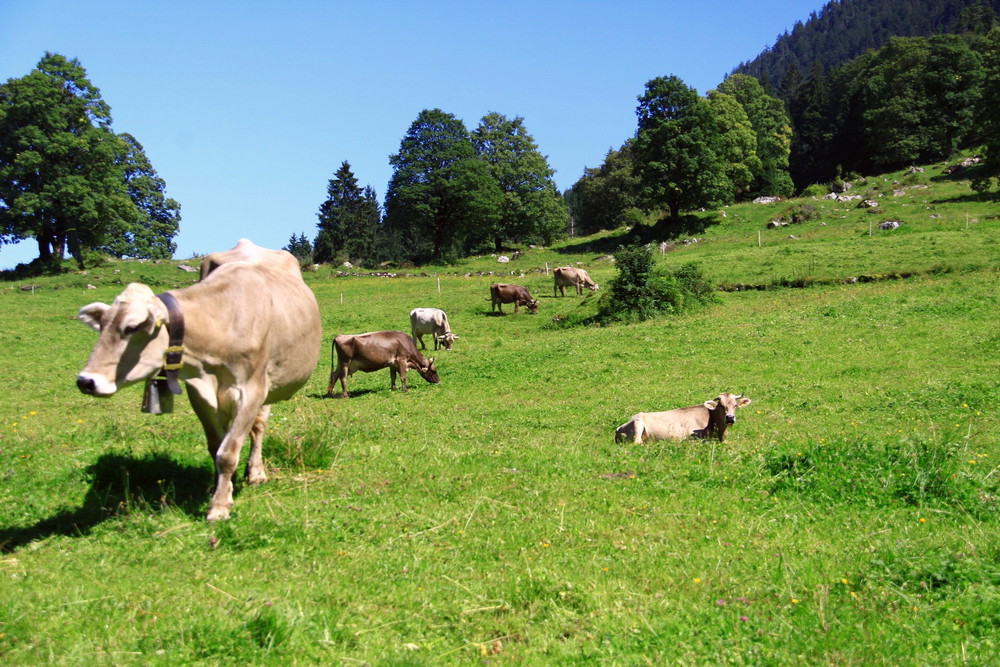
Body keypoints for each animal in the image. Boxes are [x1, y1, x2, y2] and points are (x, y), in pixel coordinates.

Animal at [78, 240, 320, 520]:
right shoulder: (198, 392)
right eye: (102, 326)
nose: (86, 381)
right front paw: (222, 490)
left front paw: (219, 507)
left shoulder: (251, 390)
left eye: (131, 327)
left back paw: (256, 472)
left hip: (271, 383)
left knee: (258, 427)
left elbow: (228, 452)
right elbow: (216, 446)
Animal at [612, 394, 752, 446]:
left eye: (735, 405)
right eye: (721, 406)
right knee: (637, 442)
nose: (730, 417)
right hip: (638, 423)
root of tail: (618, 428)